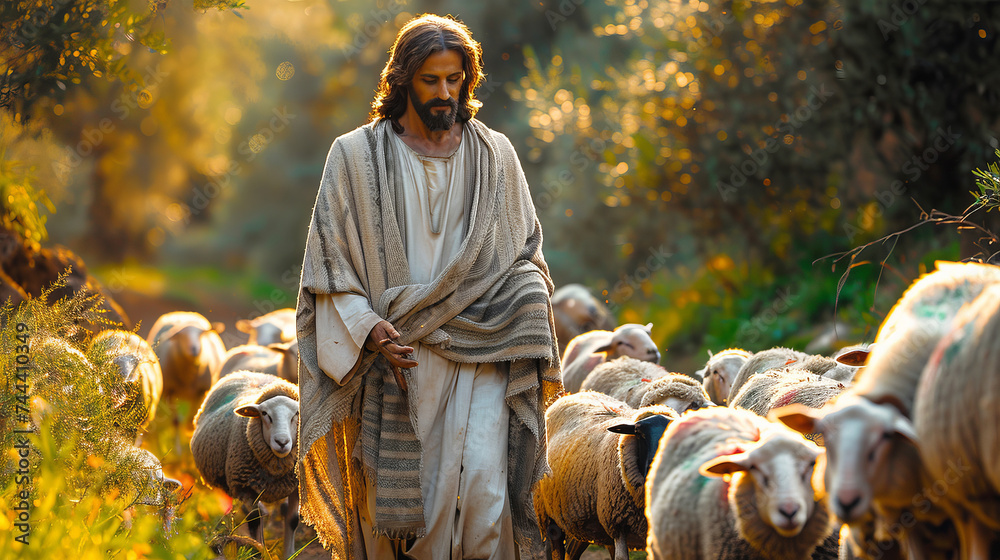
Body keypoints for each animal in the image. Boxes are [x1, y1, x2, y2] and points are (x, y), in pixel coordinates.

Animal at [191, 371, 299, 560]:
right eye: (265, 414)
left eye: (296, 414)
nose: (282, 442)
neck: (276, 468)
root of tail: (248, 373)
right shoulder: (246, 487)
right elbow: (255, 520)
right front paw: (259, 551)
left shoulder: (297, 485)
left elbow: (293, 520)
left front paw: (289, 554)